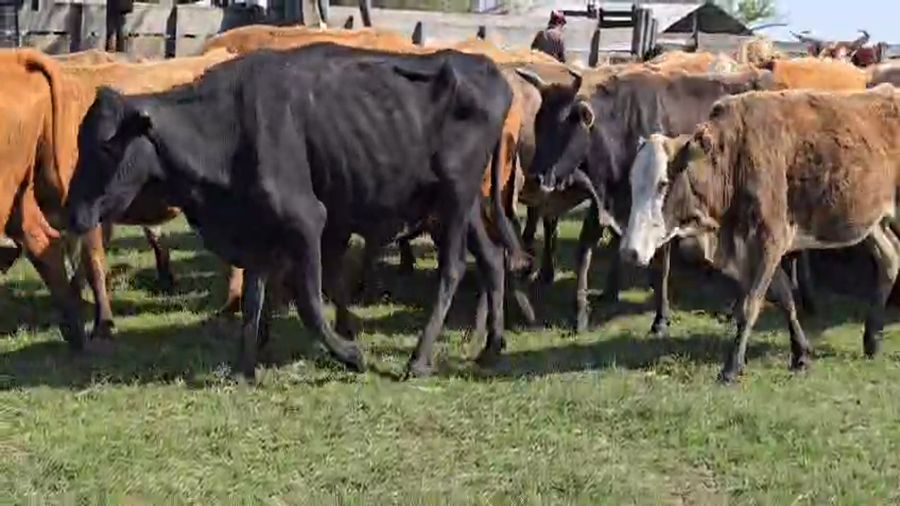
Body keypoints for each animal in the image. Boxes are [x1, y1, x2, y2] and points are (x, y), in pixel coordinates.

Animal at [64, 43, 526, 381]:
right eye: (80, 140)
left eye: (106, 145)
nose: (71, 213)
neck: (228, 125)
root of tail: (489, 70)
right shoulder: (255, 229)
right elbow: (253, 299)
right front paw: (244, 368)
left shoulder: (308, 219)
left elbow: (308, 303)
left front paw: (351, 354)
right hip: (462, 204)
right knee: (492, 258)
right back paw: (491, 347)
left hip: (454, 197)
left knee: (453, 268)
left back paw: (419, 358)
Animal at [515, 64, 779, 335]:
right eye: (538, 124)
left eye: (564, 127)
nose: (534, 178)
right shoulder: (606, 204)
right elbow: (589, 249)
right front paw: (584, 311)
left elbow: (660, 265)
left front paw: (660, 318)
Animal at [619, 84, 900, 382]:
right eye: (632, 182)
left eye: (662, 184)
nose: (629, 251)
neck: (735, 157)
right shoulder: (752, 246)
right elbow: (784, 297)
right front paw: (801, 354)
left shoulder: (770, 239)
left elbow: (749, 305)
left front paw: (731, 367)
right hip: (871, 223)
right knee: (890, 258)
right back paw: (872, 339)